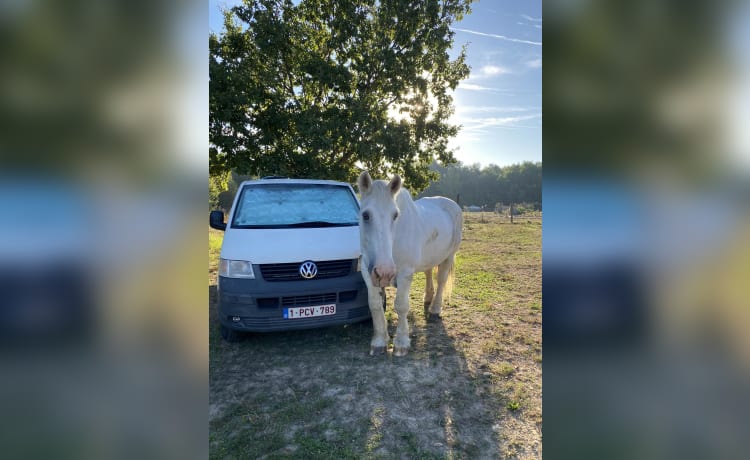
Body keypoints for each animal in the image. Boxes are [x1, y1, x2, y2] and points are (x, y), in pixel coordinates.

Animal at [358, 172, 464, 356]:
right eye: (365, 215)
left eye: (395, 215)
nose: (384, 272)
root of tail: (452, 204)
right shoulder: (368, 271)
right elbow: (375, 305)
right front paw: (379, 341)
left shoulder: (405, 273)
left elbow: (401, 306)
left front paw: (401, 343)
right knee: (429, 272)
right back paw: (427, 298)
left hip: (449, 256)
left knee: (441, 280)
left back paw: (435, 309)